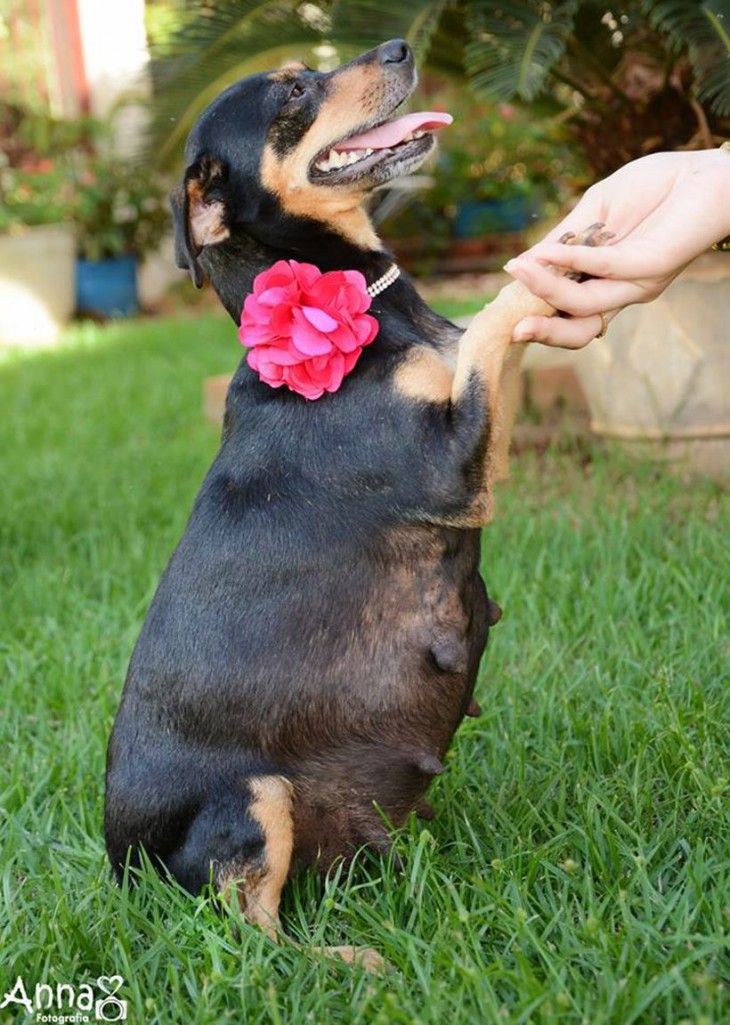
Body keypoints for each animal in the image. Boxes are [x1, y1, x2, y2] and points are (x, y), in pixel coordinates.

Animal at [105, 42, 611, 967]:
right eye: (294, 92)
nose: (399, 48)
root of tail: (118, 866)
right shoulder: (454, 467)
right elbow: (496, 319)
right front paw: (560, 254)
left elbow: (490, 332)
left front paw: (562, 246)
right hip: (251, 799)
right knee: (249, 937)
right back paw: (348, 961)